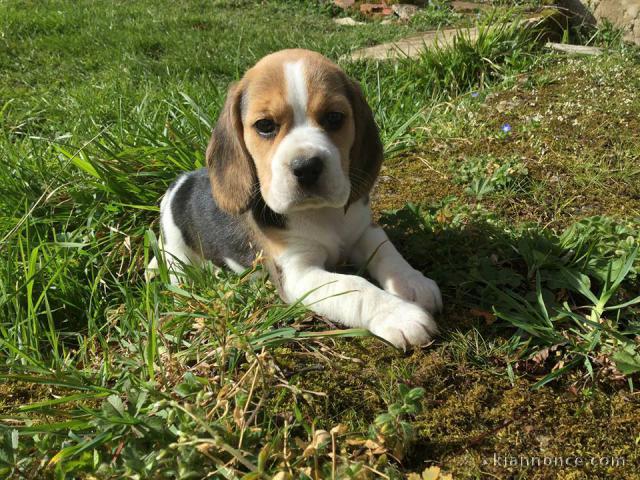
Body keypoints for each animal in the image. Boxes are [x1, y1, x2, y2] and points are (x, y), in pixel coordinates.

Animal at [151, 48, 442, 348]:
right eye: (265, 125)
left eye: (334, 118)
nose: (307, 167)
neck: (320, 213)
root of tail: (181, 182)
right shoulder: (298, 274)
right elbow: (355, 287)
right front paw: (399, 314)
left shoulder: (364, 230)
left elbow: (386, 251)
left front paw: (411, 282)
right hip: (176, 252)